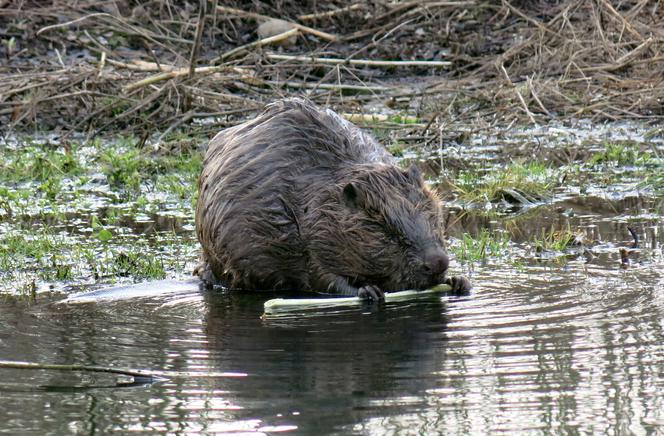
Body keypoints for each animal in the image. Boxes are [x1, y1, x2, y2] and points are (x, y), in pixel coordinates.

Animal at [195, 98, 470, 300]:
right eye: (386, 230)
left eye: (434, 219)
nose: (437, 262)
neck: (315, 199)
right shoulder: (308, 240)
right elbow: (321, 277)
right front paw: (368, 291)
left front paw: (458, 281)